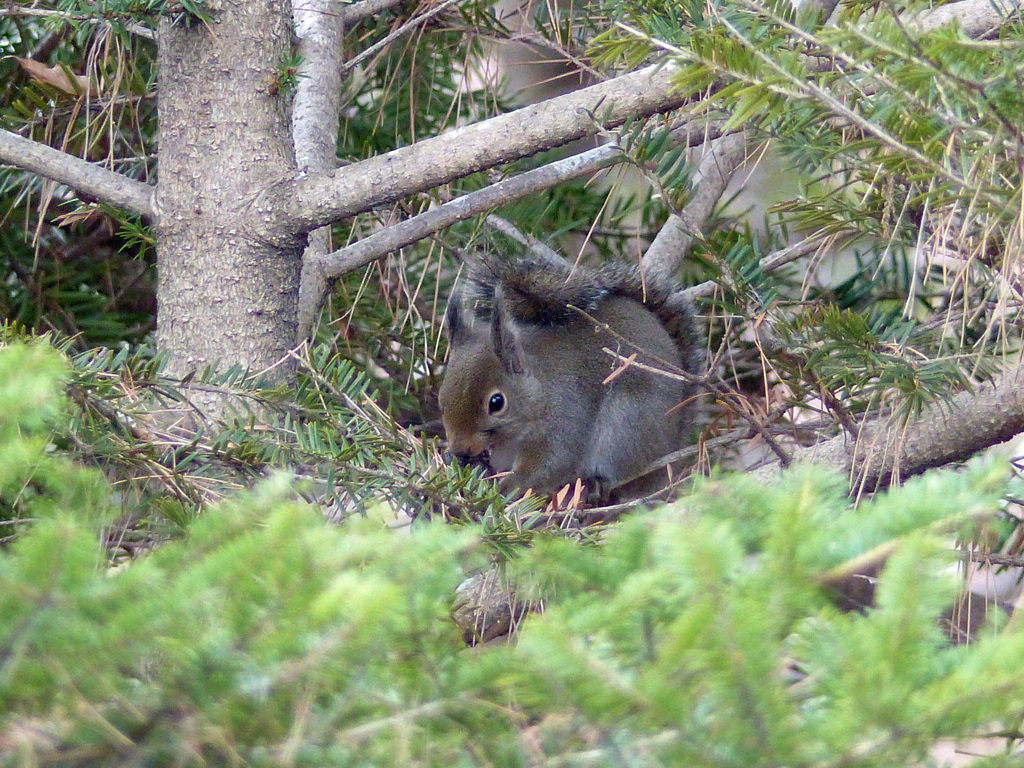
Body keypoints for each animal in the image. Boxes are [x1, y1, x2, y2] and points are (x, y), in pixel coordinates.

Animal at [436, 257, 700, 505]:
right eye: (442, 400)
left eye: (496, 403)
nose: (460, 447)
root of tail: (673, 444)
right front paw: (459, 462)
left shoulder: (566, 420)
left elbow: (552, 464)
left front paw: (506, 487)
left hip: (628, 425)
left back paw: (595, 484)